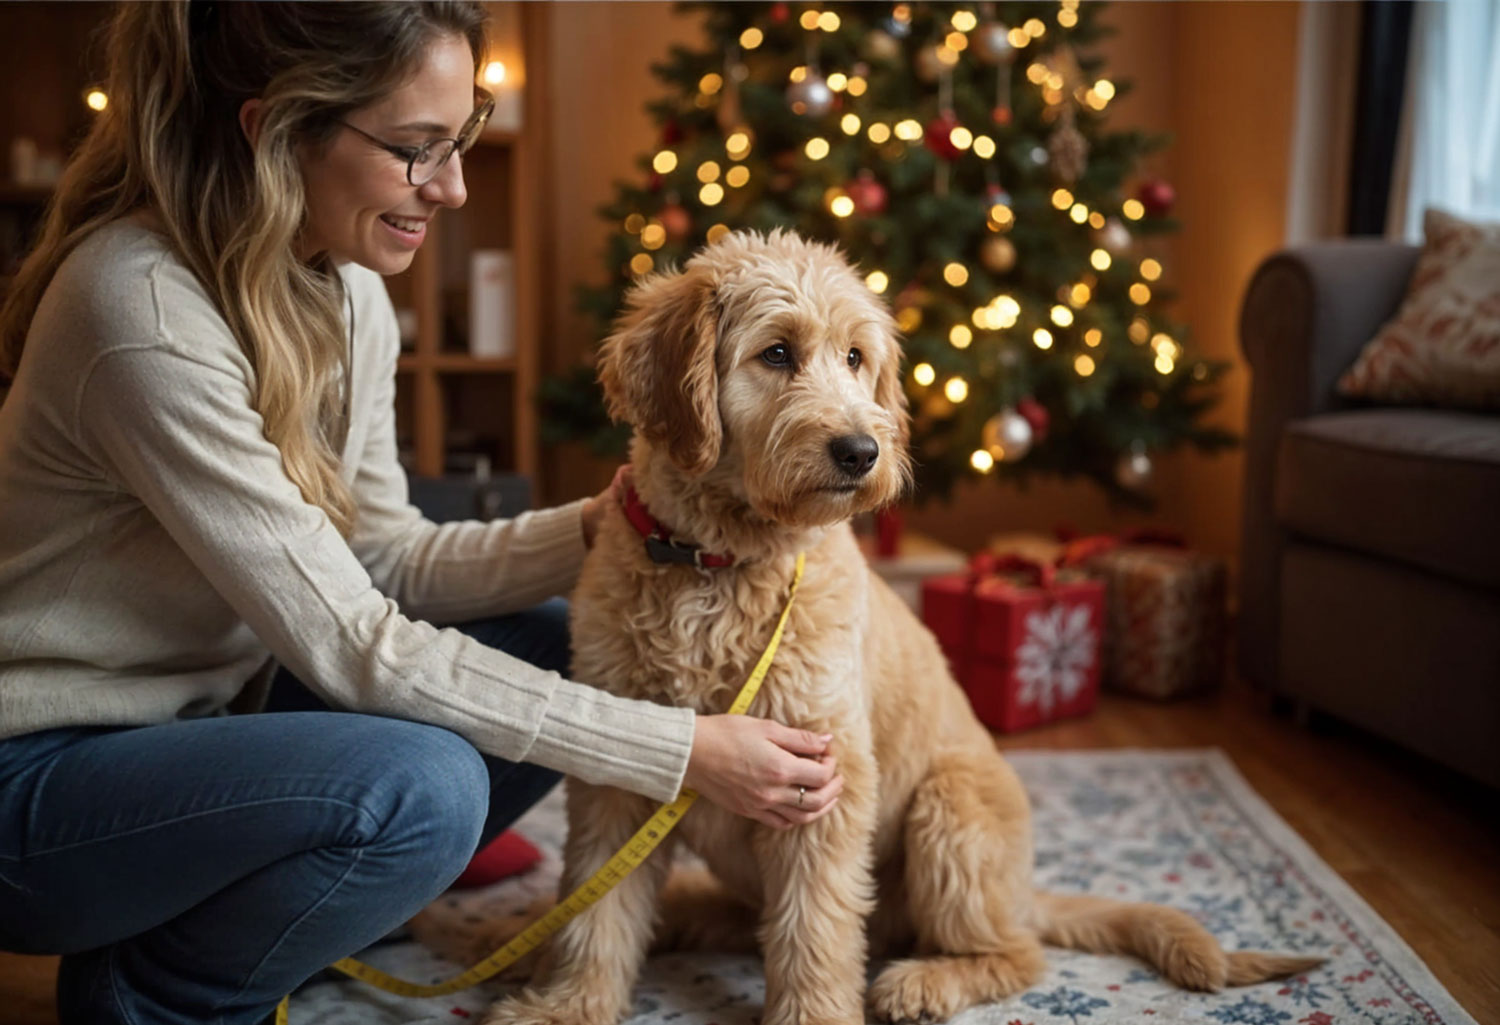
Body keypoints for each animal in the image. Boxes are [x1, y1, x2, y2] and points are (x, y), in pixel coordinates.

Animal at [474, 231, 1320, 1025]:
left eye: (856, 357)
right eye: (776, 353)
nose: (862, 451)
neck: (717, 563)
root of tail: (1024, 891)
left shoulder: (823, 777)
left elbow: (815, 924)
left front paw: (813, 1016)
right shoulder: (618, 778)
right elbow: (597, 906)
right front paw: (570, 1001)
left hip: (951, 809)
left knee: (1011, 951)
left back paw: (921, 981)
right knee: (740, 918)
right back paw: (539, 933)